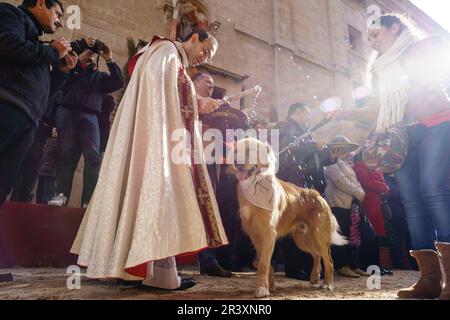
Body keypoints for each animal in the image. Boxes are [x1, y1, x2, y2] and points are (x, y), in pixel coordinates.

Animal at [230, 138, 346, 298]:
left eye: (251, 150)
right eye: (236, 151)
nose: (236, 162)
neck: (256, 186)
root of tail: (318, 195)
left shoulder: (269, 234)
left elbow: (263, 264)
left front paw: (262, 289)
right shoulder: (255, 235)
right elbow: (266, 263)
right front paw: (270, 286)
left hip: (319, 236)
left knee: (328, 261)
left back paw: (328, 284)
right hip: (302, 239)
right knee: (316, 255)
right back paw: (314, 278)